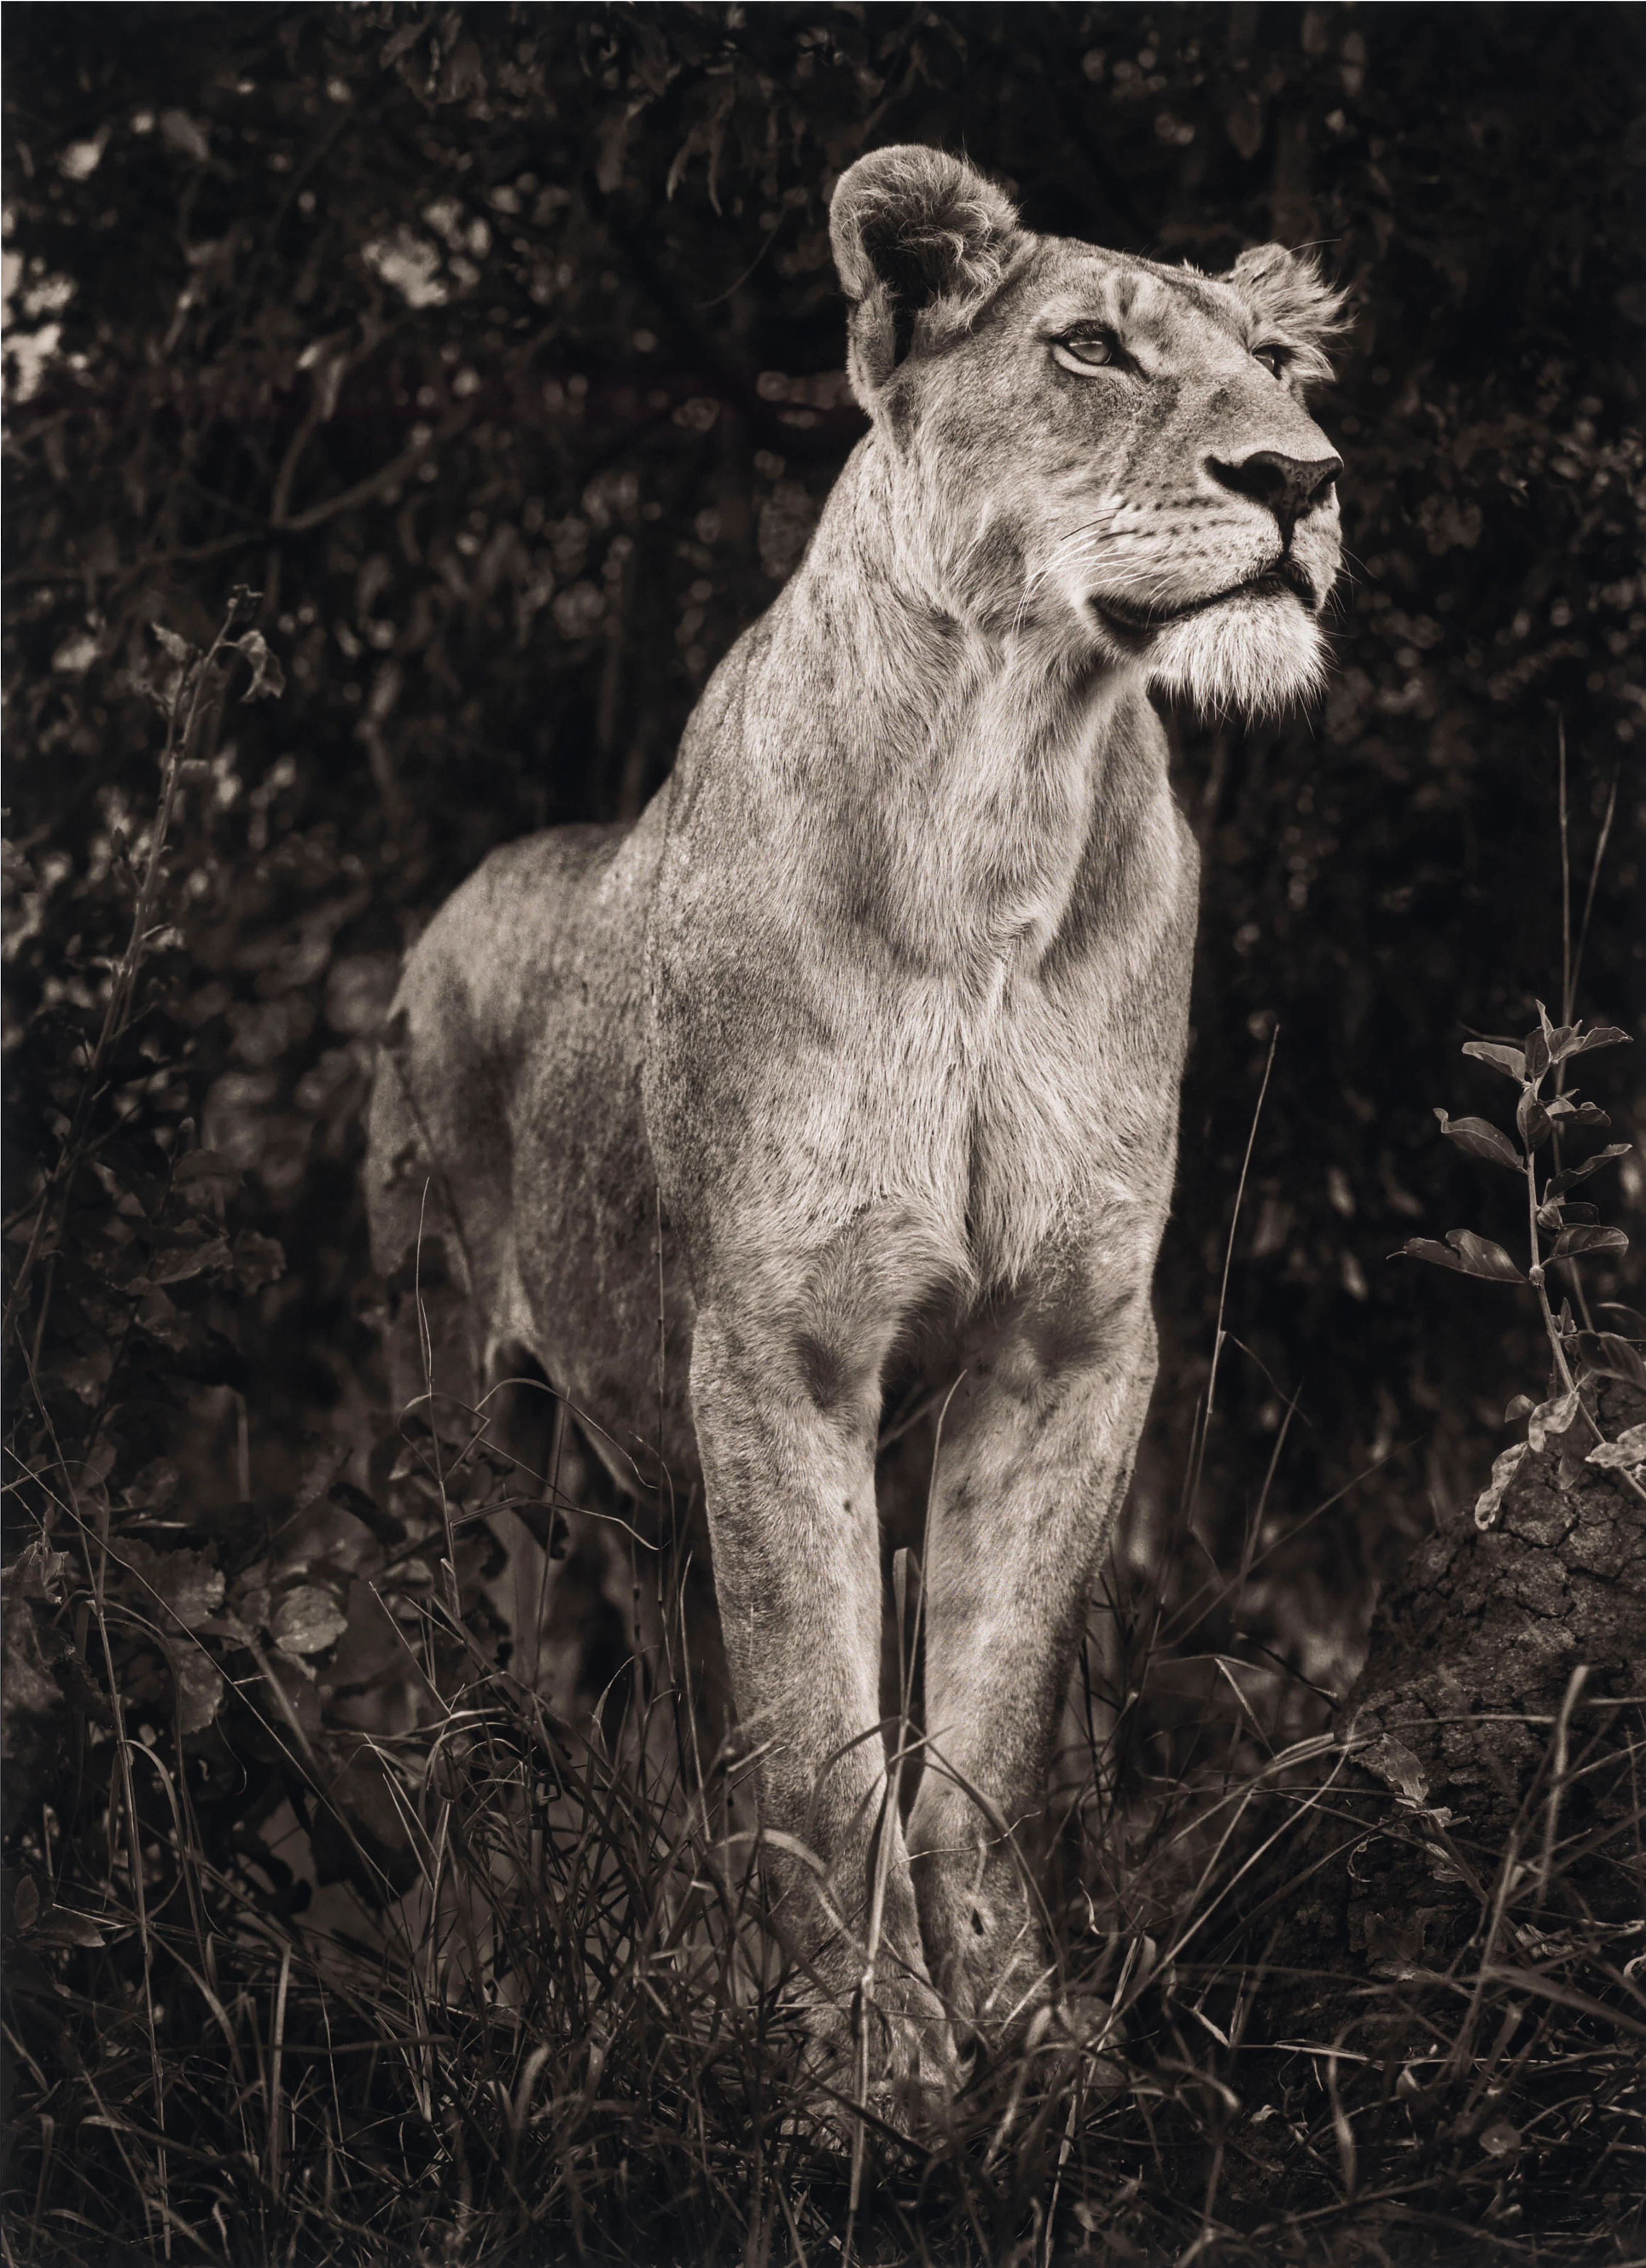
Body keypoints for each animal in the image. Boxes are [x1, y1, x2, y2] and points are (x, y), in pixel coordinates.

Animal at [365, 144, 1345, 2106]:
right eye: (1094, 349)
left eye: (1280, 359)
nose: (1300, 479)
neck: (1011, 796)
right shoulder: (781, 1343)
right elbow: (824, 1738)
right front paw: (873, 2076)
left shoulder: (1071, 1346)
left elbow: (981, 1732)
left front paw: (1031, 2046)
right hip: (458, 1426)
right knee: (469, 1711)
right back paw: (461, 1987)